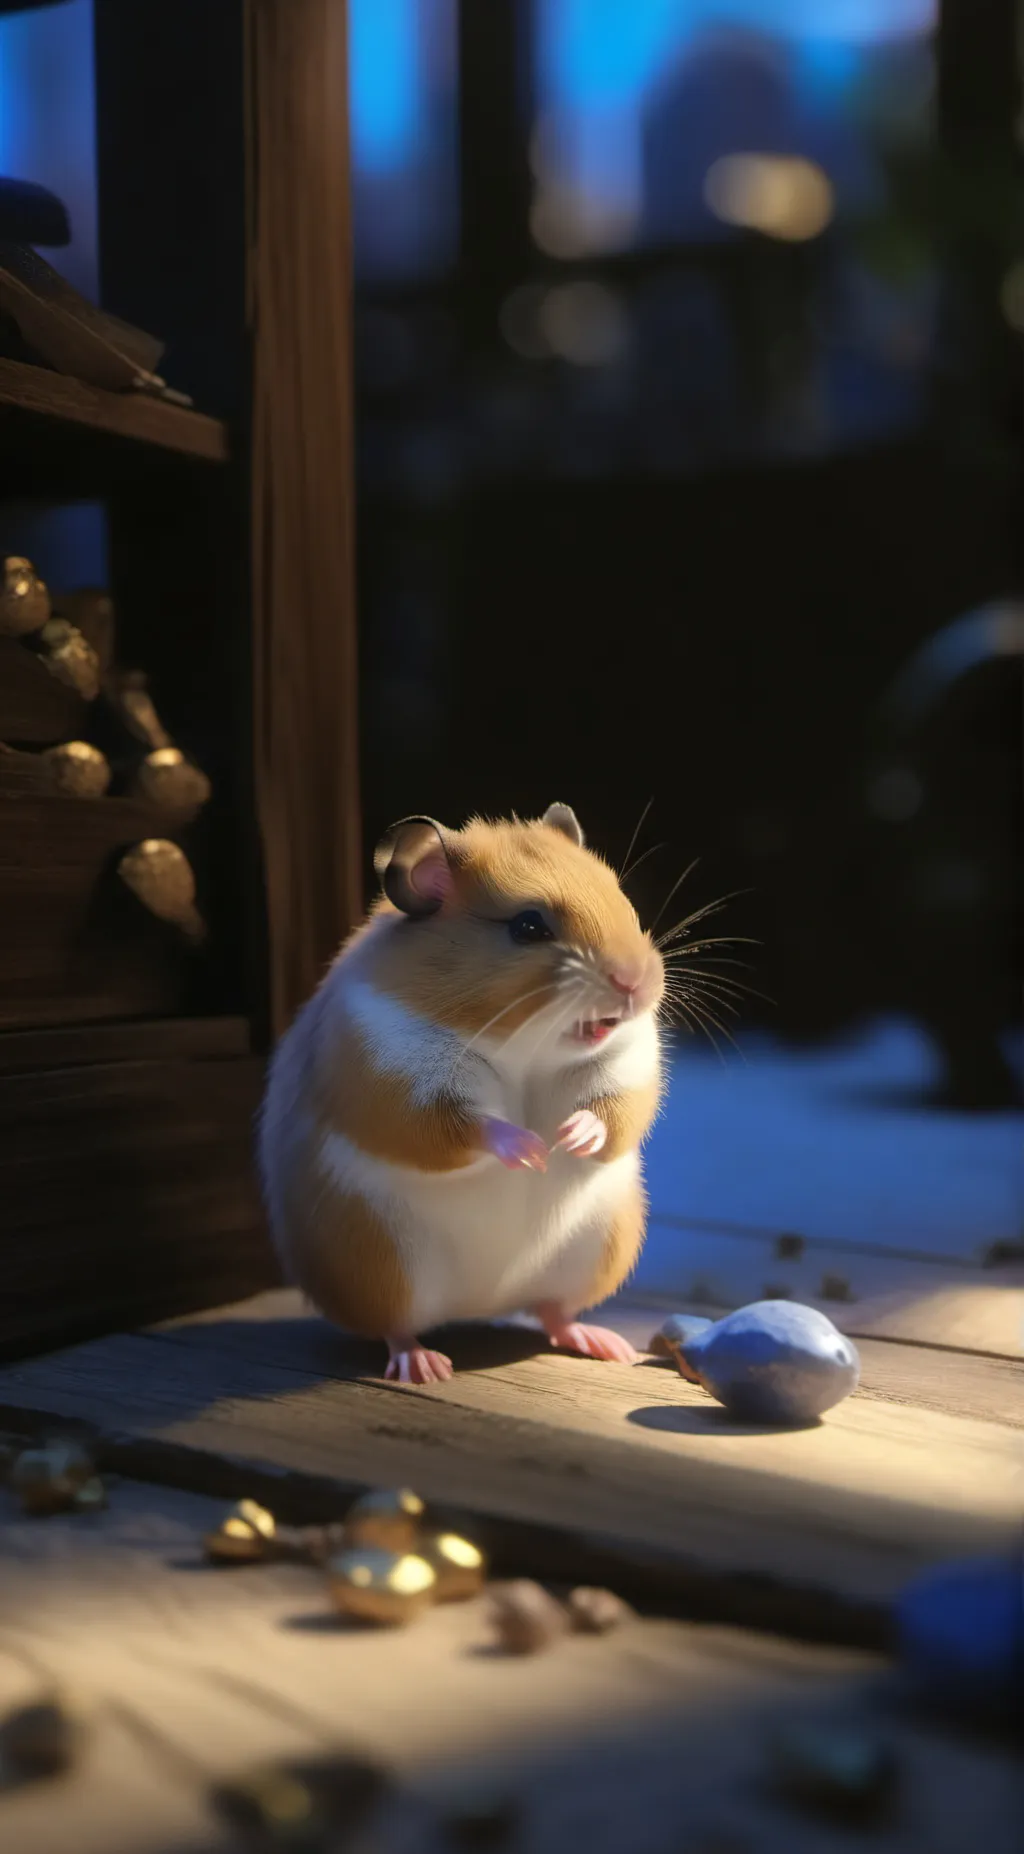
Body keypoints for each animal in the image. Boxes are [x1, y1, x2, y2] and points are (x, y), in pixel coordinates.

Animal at [258, 804, 666, 1384]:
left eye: (622, 899)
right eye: (528, 926)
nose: (638, 982)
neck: (525, 1045)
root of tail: (484, 1303)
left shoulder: (627, 1067)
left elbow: (612, 1114)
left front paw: (570, 1138)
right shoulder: (397, 1080)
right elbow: (467, 1126)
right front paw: (532, 1151)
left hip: (596, 1251)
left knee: (552, 1312)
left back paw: (606, 1344)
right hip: (382, 1265)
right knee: (395, 1327)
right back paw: (425, 1366)